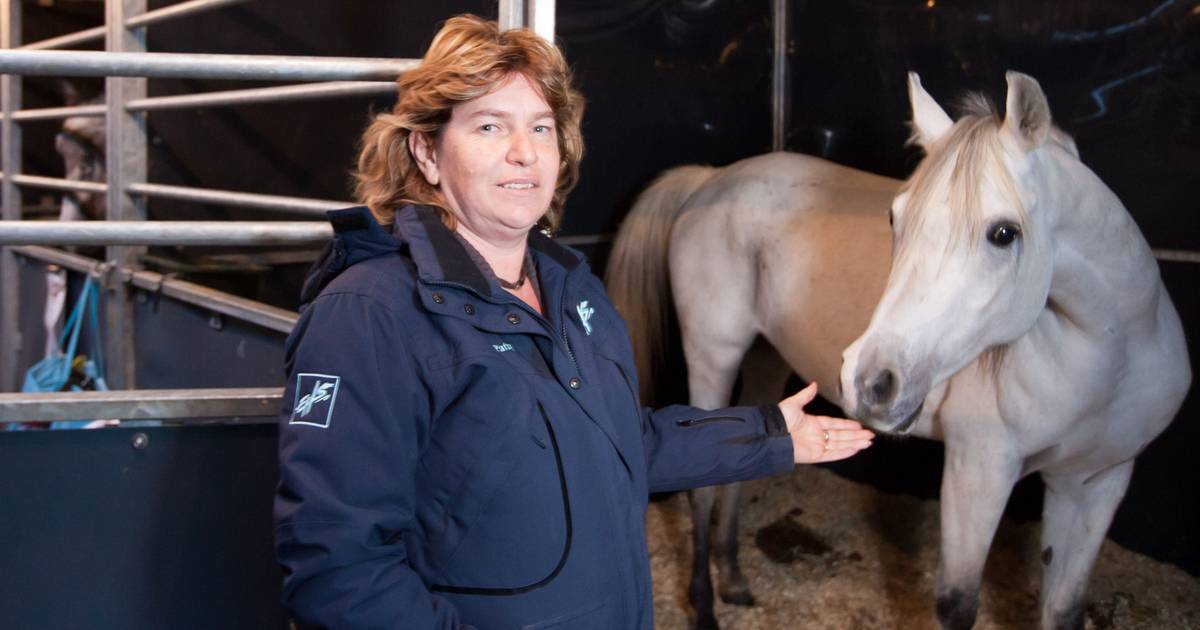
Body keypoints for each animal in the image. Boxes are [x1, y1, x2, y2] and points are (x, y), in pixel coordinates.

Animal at [605, 71, 1190, 630]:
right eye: (894, 218)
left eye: (1004, 233)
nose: (869, 381)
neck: (1111, 359)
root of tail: (711, 180)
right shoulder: (979, 471)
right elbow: (956, 606)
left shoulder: (1095, 483)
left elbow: (1063, 610)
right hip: (713, 356)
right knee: (702, 486)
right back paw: (705, 608)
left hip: (766, 361)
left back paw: (733, 580)